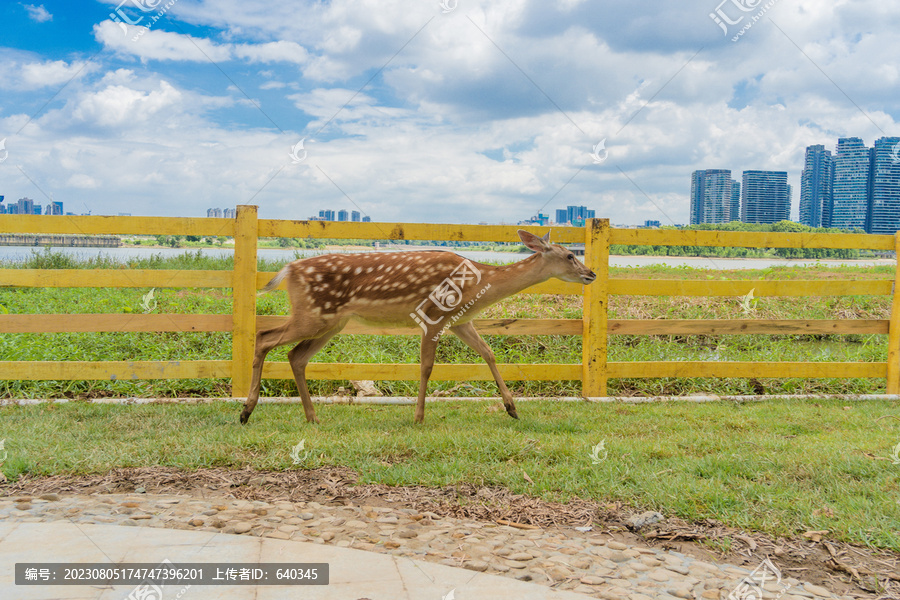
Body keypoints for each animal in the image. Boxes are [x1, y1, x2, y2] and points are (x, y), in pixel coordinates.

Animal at [237, 227, 596, 424]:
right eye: (569, 255)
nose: (591, 273)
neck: (481, 282)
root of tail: (288, 269)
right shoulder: (434, 314)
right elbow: (426, 366)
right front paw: (419, 416)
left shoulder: (460, 321)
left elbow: (489, 353)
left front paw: (512, 408)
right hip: (312, 314)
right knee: (264, 336)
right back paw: (246, 410)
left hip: (331, 322)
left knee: (296, 356)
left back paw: (311, 417)